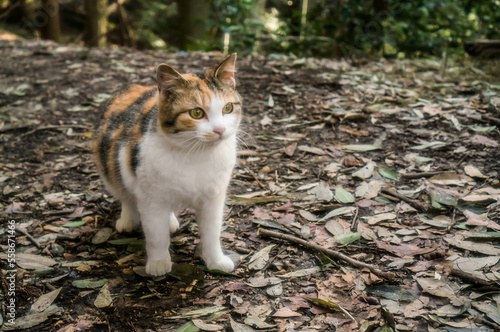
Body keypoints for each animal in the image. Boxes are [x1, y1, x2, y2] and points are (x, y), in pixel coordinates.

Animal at [93, 54, 242, 276]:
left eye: (228, 108)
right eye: (196, 113)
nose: (220, 130)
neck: (196, 155)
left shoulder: (214, 198)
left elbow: (212, 233)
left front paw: (216, 261)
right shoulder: (151, 198)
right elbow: (156, 235)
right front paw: (158, 263)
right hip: (111, 166)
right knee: (125, 194)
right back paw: (128, 219)